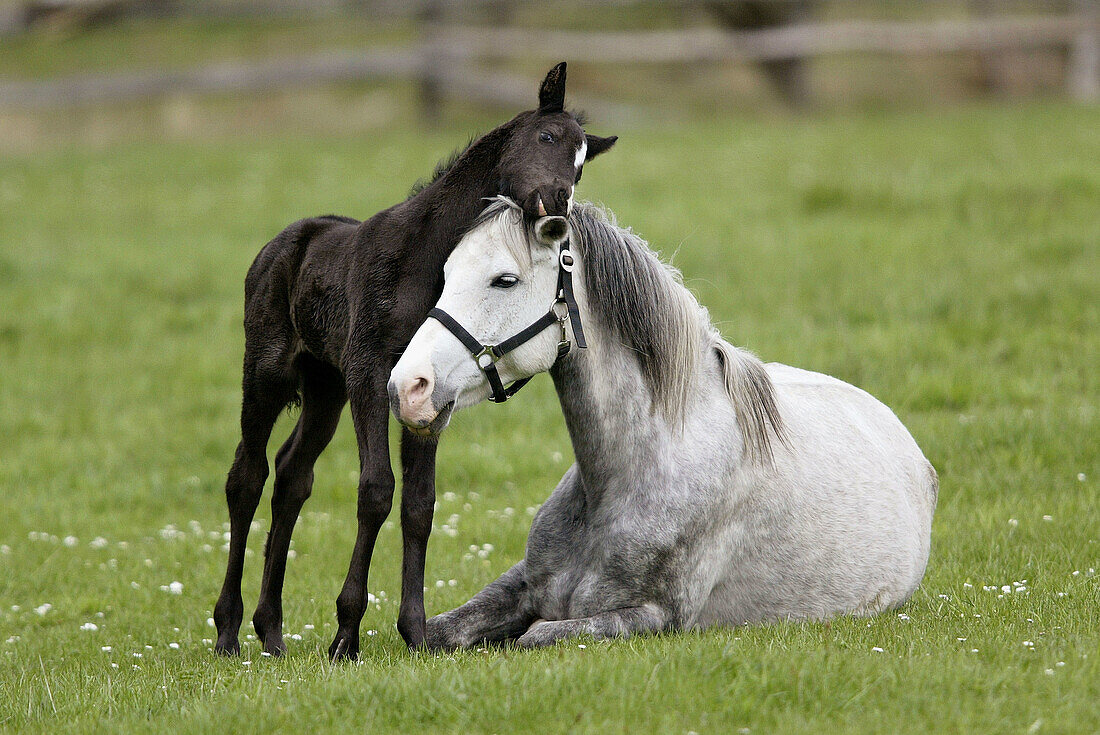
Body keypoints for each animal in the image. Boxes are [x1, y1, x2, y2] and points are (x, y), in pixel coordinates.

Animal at [389, 196, 937, 646]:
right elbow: (434, 632)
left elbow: (534, 635)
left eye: (505, 279)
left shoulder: (654, 616)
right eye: (446, 275)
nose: (407, 387)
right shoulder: (520, 583)